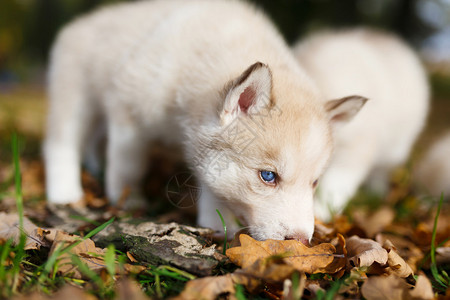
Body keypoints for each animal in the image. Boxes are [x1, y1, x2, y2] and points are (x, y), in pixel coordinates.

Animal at [292, 28, 428, 220]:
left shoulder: (355, 149)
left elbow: (336, 184)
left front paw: (321, 212)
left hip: (395, 149)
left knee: (380, 171)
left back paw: (376, 192)